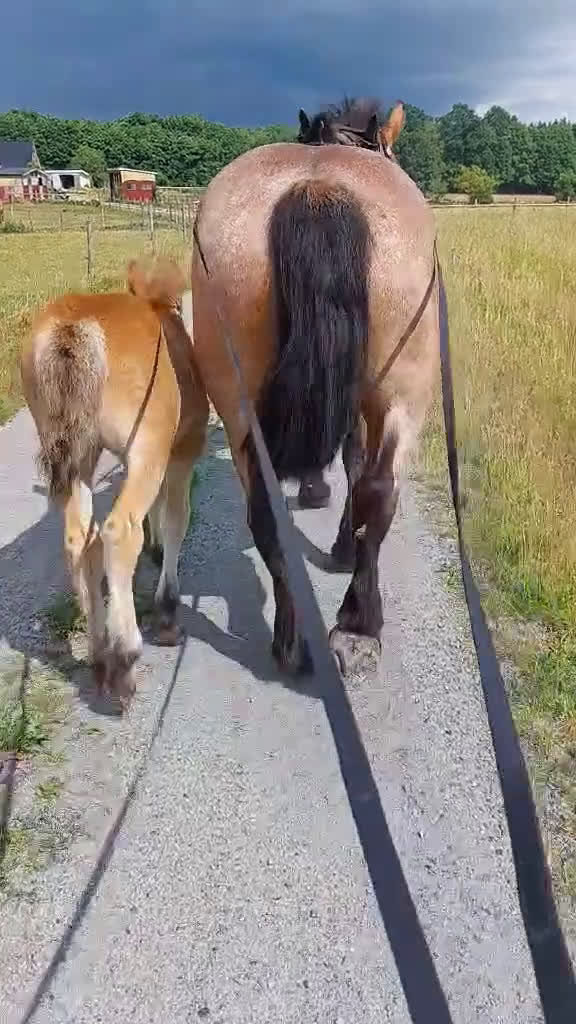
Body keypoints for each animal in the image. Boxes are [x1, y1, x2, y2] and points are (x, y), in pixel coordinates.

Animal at [21, 257, 209, 704]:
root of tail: (74, 329)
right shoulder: (180, 451)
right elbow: (176, 517)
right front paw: (167, 607)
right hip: (145, 448)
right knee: (118, 531)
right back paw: (123, 658)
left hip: (79, 456)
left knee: (81, 539)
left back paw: (98, 653)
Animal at [191, 98, 440, 676]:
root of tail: (317, 188)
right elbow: (354, 461)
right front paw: (337, 529)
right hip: (404, 393)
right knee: (379, 490)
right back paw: (358, 625)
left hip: (238, 403)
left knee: (267, 511)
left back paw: (292, 637)